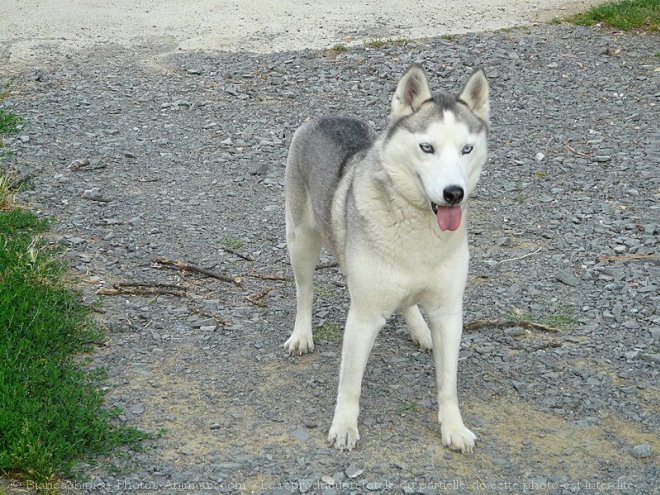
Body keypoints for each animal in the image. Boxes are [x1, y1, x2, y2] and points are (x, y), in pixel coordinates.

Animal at [284, 65, 490, 454]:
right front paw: (344, 426)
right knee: (304, 292)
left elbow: (448, 382)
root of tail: (322, 117)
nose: (454, 194)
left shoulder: (448, 313)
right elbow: (350, 382)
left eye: (467, 149)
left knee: (408, 301)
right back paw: (302, 334)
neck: (417, 225)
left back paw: (420, 330)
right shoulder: (363, 317)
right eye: (427, 147)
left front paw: (453, 427)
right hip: (300, 241)